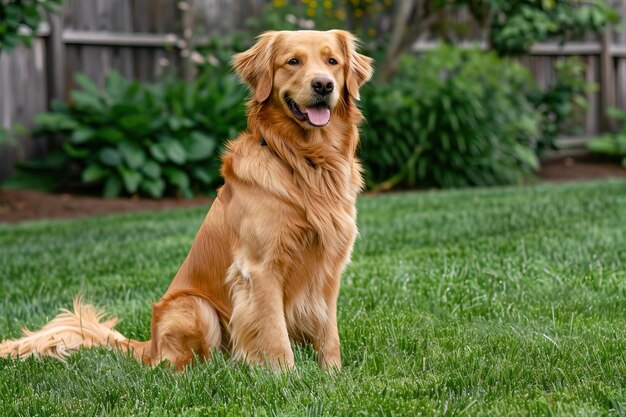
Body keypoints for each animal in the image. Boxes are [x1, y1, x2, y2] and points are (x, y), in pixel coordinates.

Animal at [0, 29, 370, 368]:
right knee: (177, 364)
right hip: (194, 306)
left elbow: (329, 334)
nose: (323, 86)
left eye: (332, 62)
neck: (305, 162)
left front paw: (332, 375)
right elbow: (274, 335)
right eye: (293, 61)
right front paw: (286, 378)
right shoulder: (260, 268)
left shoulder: (329, 269)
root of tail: (148, 344)